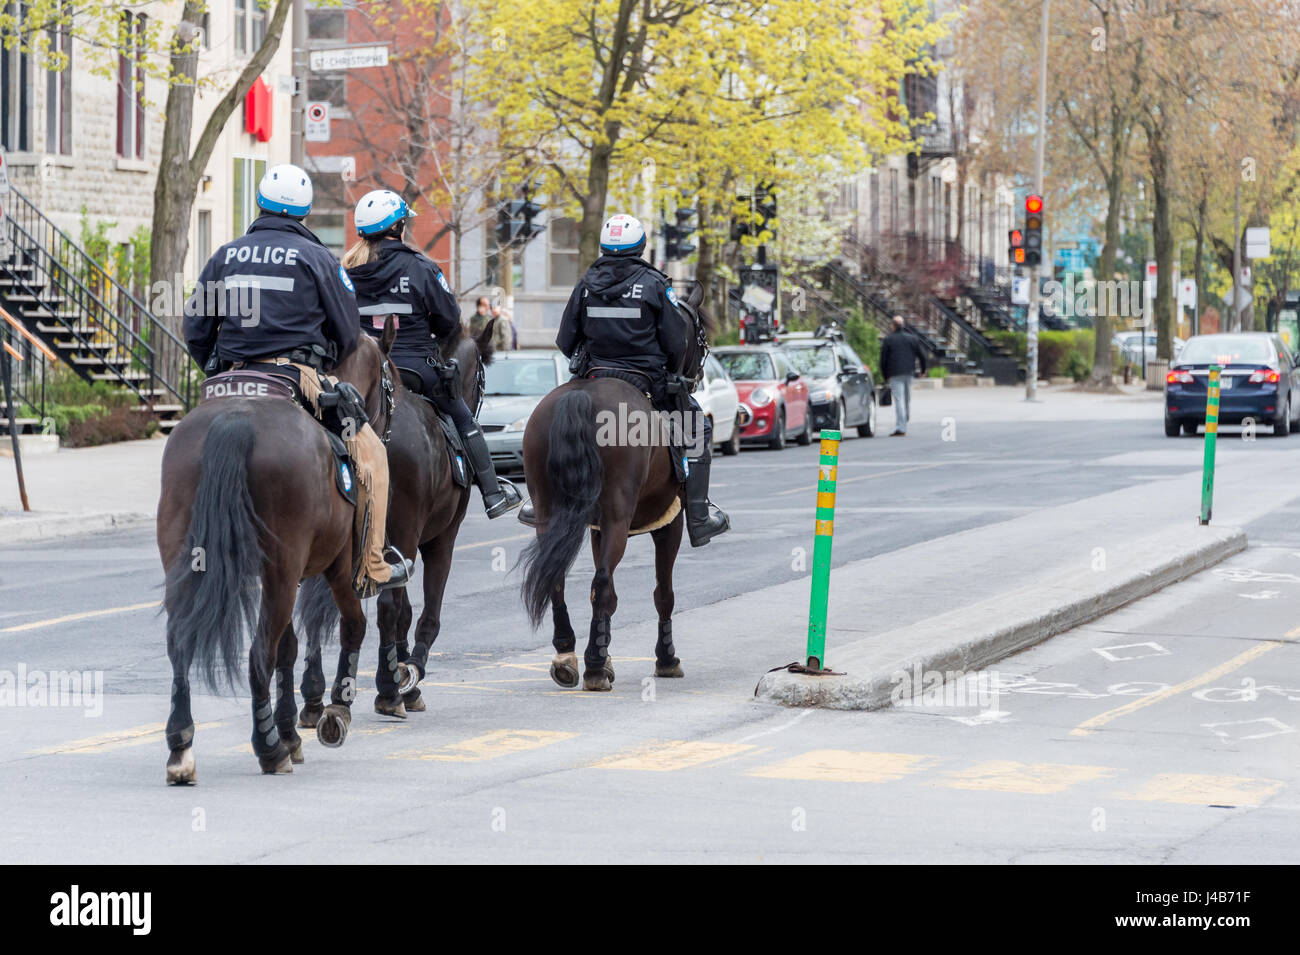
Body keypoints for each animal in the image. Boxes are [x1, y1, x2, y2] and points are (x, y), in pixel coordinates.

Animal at [157, 328, 392, 784]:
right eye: (391, 381)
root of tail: (235, 419)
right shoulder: (337, 568)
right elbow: (351, 626)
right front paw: (335, 711)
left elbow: (289, 648)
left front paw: (291, 732)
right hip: (284, 571)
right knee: (257, 655)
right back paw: (267, 750)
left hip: (189, 563)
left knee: (180, 645)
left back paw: (181, 749)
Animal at [293, 320, 491, 717]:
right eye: (481, 374)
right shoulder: (438, 540)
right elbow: (421, 614)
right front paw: (408, 675)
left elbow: (401, 611)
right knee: (387, 608)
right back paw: (386, 691)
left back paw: (314, 695)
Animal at [517, 280, 712, 691]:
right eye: (700, 337)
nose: (698, 374)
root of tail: (581, 397)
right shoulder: (669, 521)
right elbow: (664, 594)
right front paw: (665, 658)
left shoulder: (595, 526)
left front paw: (607, 656)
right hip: (619, 517)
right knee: (603, 583)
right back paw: (592, 666)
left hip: (548, 510)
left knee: (558, 579)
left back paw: (567, 657)